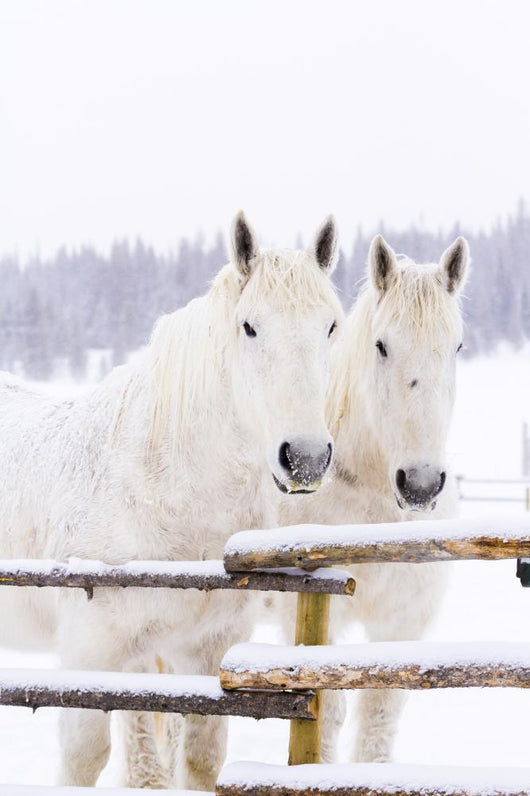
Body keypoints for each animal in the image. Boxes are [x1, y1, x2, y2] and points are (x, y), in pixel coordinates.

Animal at [0, 212, 344, 790]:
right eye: (249, 326)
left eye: (331, 327)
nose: (306, 459)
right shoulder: (90, 651)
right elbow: (83, 759)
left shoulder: (204, 648)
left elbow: (200, 759)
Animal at [280, 233, 470, 764]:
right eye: (381, 346)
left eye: (457, 346)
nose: (420, 485)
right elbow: (326, 713)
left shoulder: (401, 622)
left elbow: (379, 715)